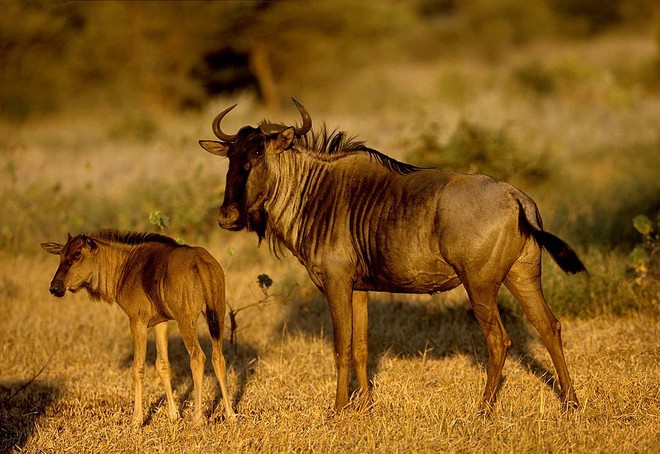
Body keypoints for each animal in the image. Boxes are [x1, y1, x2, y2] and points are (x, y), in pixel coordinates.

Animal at [40, 231, 236, 426]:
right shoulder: (160, 323)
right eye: (61, 255)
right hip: (217, 314)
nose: (54, 287)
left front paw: (136, 420)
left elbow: (138, 368)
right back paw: (231, 415)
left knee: (197, 357)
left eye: (77, 255)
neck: (124, 267)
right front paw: (173, 415)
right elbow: (163, 365)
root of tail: (201, 261)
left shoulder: (137, 322)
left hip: (186, 320)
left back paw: (198, 419)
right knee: (218, 357)